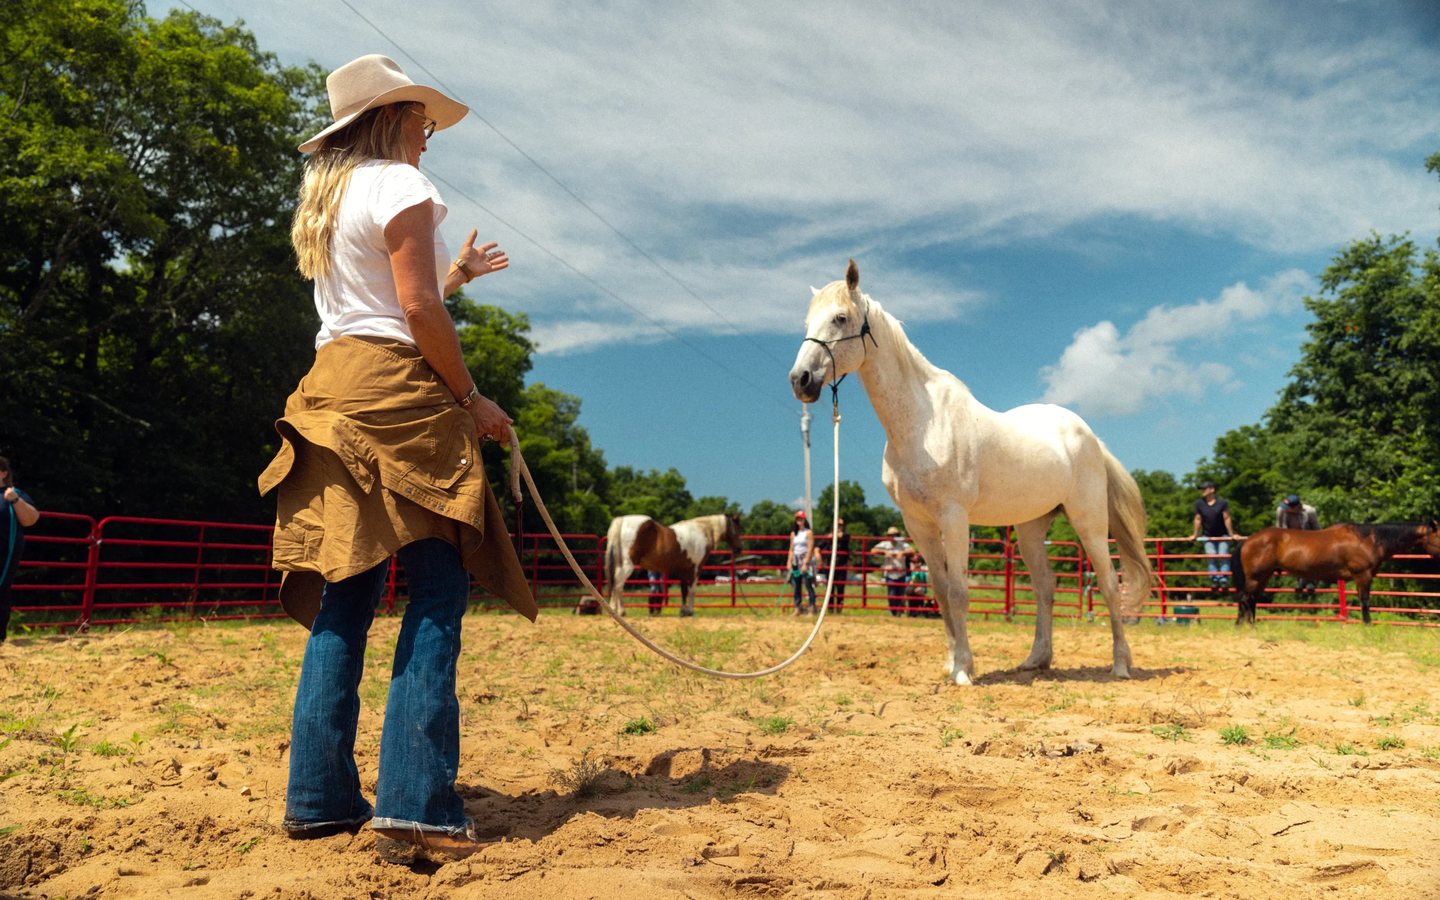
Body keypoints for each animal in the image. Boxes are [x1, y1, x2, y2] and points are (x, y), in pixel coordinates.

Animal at [602, 513, 743, 617]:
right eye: (736, 529)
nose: (739, 549)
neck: (701, 531)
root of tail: (622, 520)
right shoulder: (695, 569)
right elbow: (692, 590)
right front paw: (690, 611)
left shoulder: (684, 570)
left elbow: (684, 590)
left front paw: (683, 611)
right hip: (628, 565)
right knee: (618, 584)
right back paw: (619, 610)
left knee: (616, 583)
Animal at [789, 260, 1152, 686]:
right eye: (807, 320)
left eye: (840, 317)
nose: (800, 380)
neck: (921, 423)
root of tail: (1090, 437)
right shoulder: (917, 524)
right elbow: (941, 591)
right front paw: (951, 663)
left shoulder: (954, 517)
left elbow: (960, 592)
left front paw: (963, 671)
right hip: (1030, 528)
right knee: (1045, 587)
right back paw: (1036, 660)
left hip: (1089, 520)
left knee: (1110, 584)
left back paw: (1120, 665)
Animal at [1231, 522, 1440, 625]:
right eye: (1439, 535)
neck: (1368, 539)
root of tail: (1248, 540)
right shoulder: (1362, 576)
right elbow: (1365, 602)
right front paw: (1367, 625)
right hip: (1255, 578)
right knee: (1245, 599)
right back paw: (1243, 626)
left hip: (1263, 577)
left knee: (1251, 600)